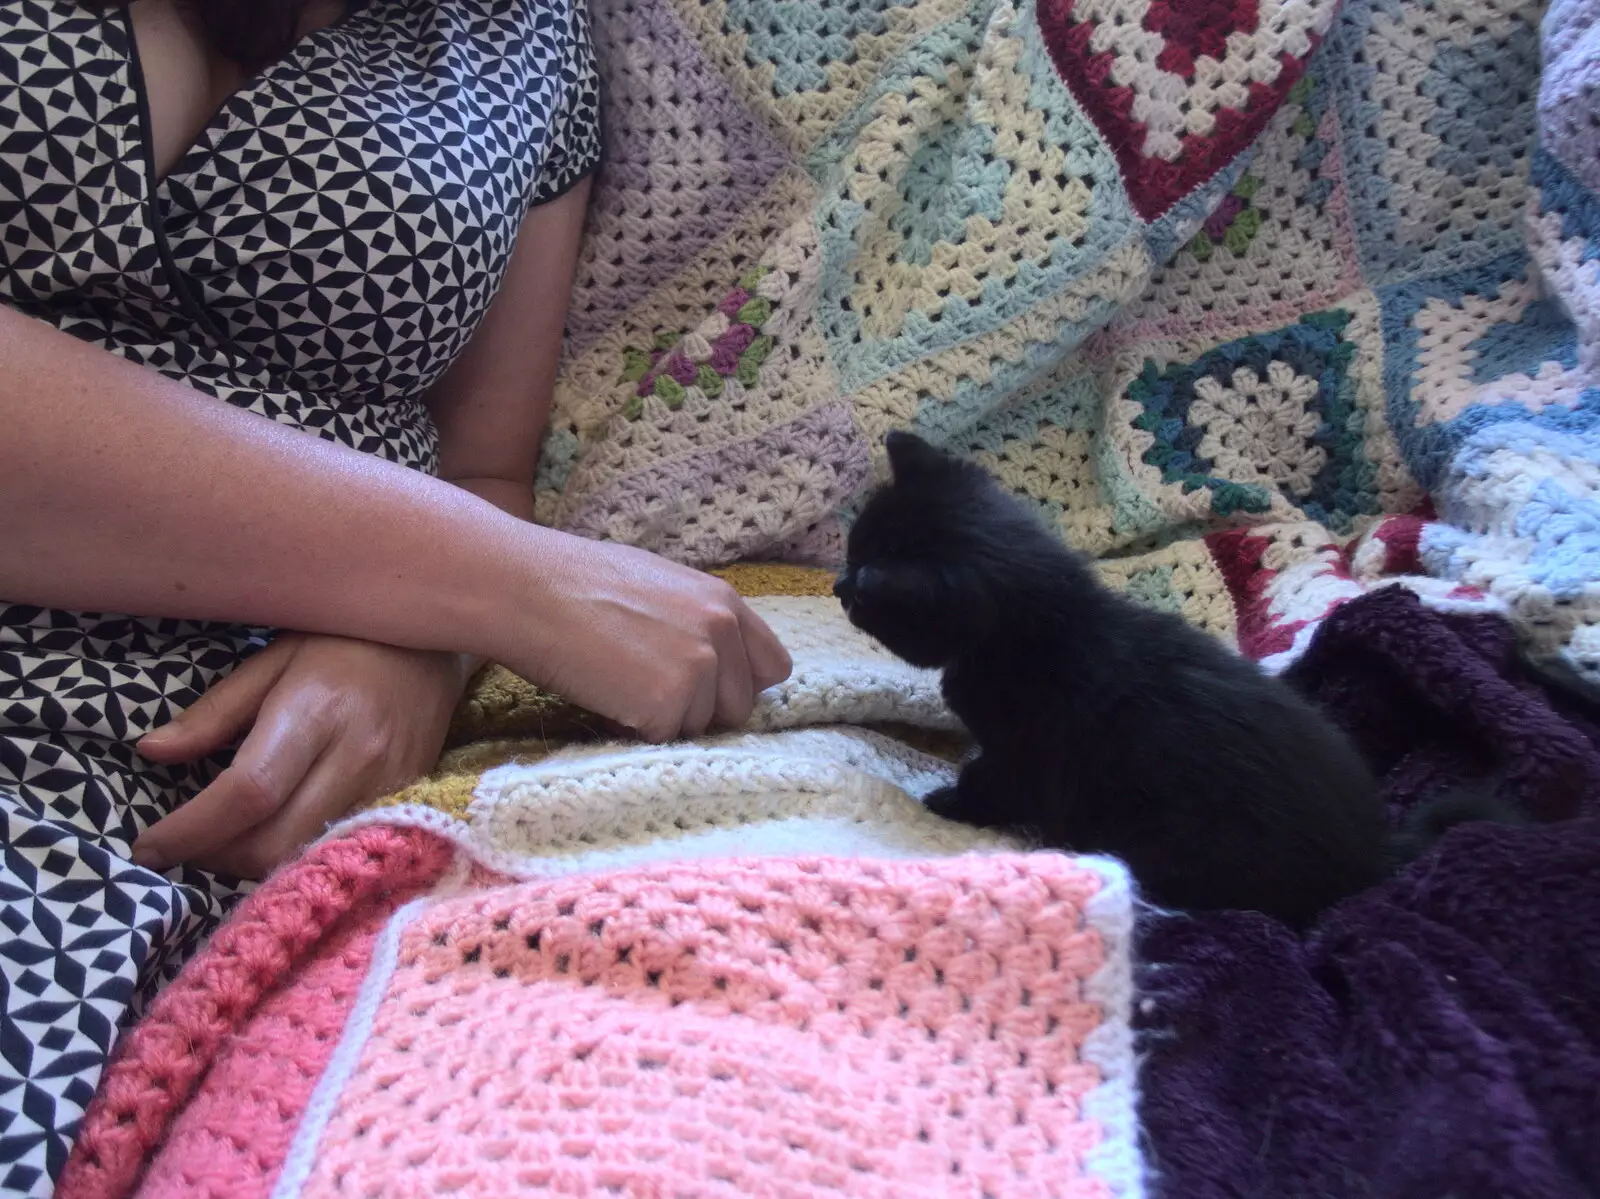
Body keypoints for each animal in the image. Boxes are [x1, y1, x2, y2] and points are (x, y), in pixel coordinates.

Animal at [844, 429, 1395, 928]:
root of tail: (1372, 869)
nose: (842, 586)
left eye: (861, 592)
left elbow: (991, 781)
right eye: (850, 555)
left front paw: (950, 801)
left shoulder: (1029, 751)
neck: (1044, 623)